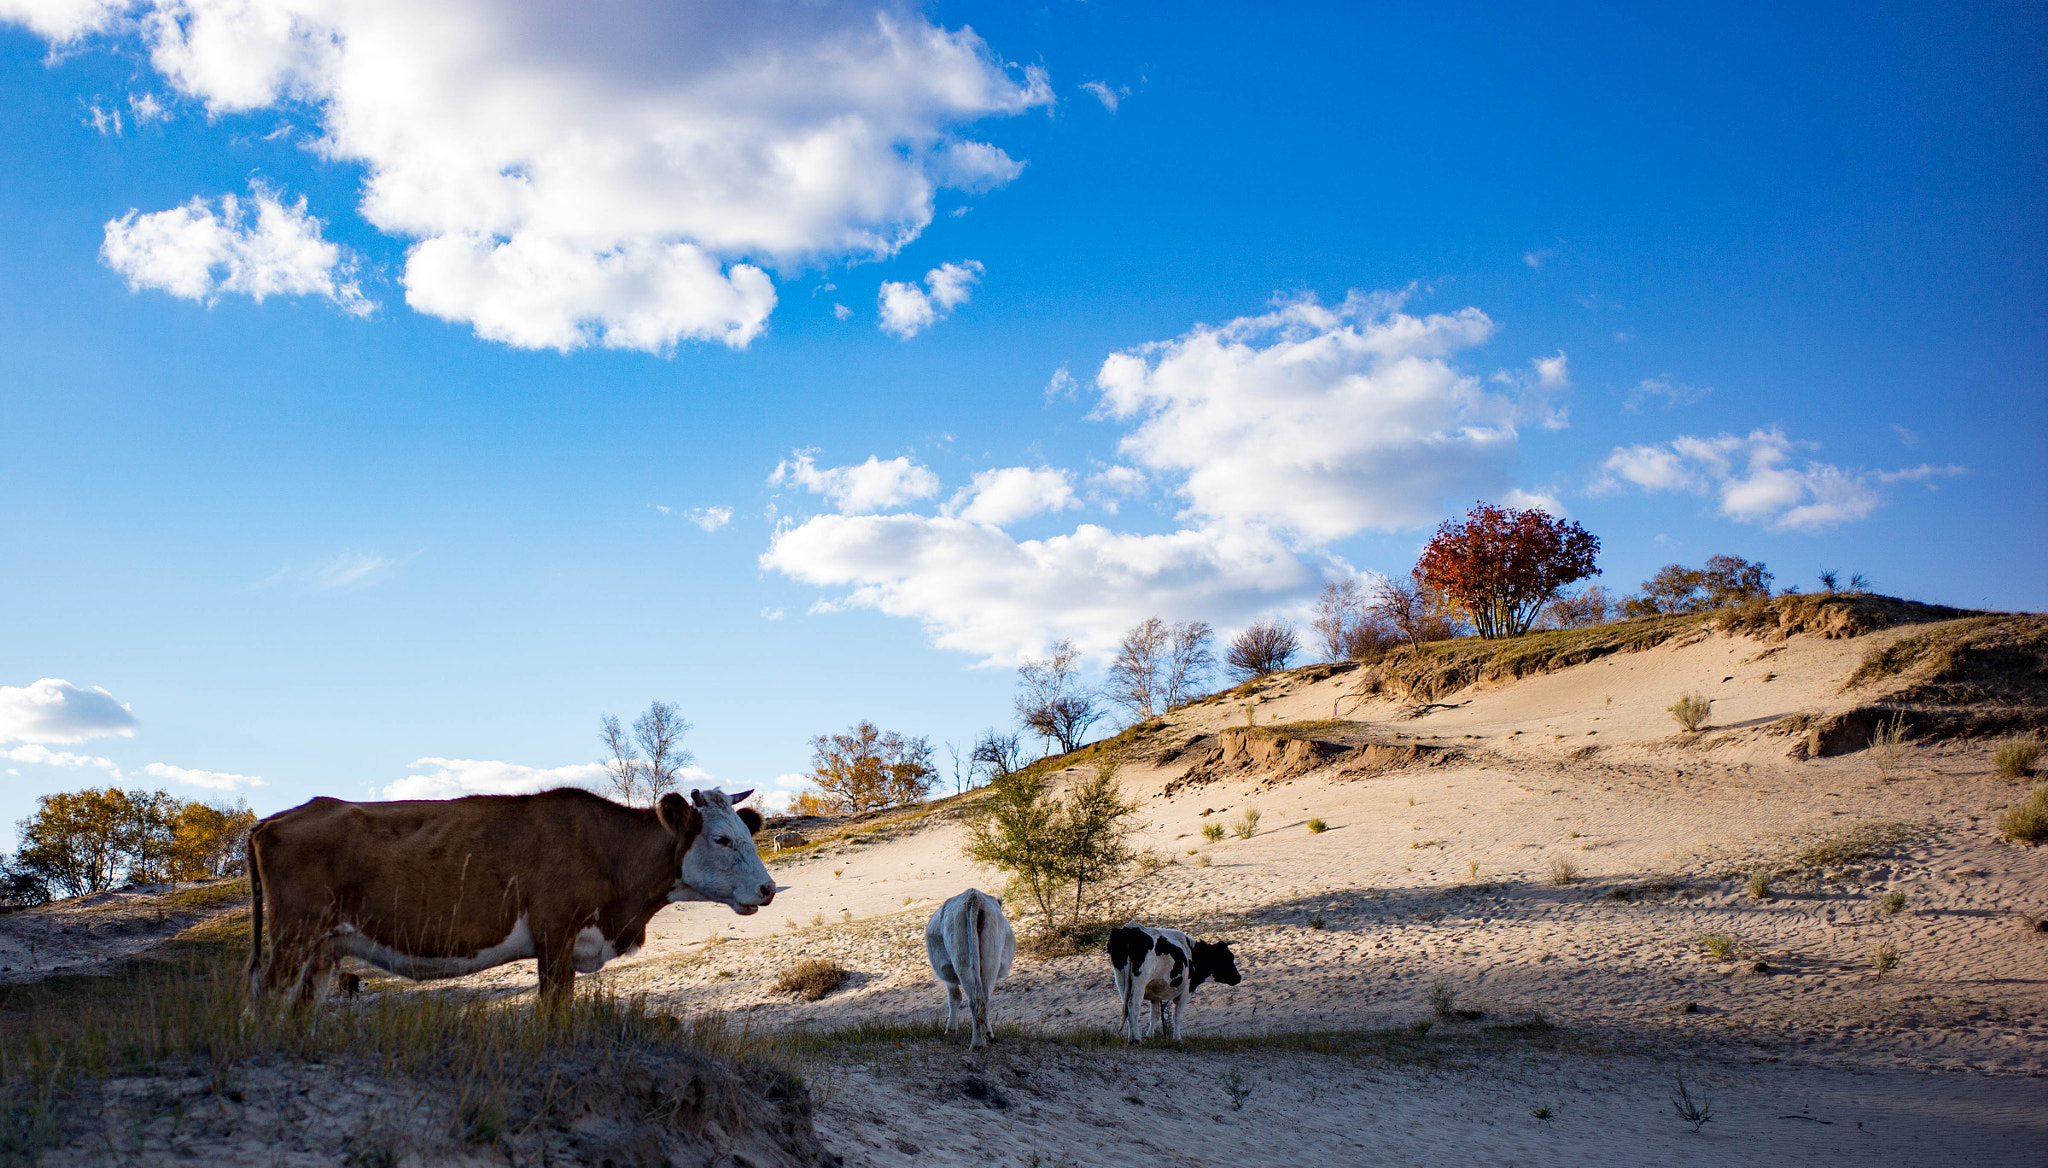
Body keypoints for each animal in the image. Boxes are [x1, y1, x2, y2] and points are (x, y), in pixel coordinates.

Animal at [247, 782, 770, 999]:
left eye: (747, 834)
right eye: (721, 840)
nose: (767, 888)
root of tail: (279, 817)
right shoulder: (555, 935)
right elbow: (555, 1010)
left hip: (323, 948)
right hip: (295, 935)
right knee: (268, 997)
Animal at [929, 881, 1015, 1045]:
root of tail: (973, 897)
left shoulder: (948, 976)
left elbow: (954, 997)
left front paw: (950, 1030)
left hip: (961, 959)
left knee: (974, 1000)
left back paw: (977, 1044)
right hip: (990, 960)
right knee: (984, 999)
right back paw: (985, 1037)